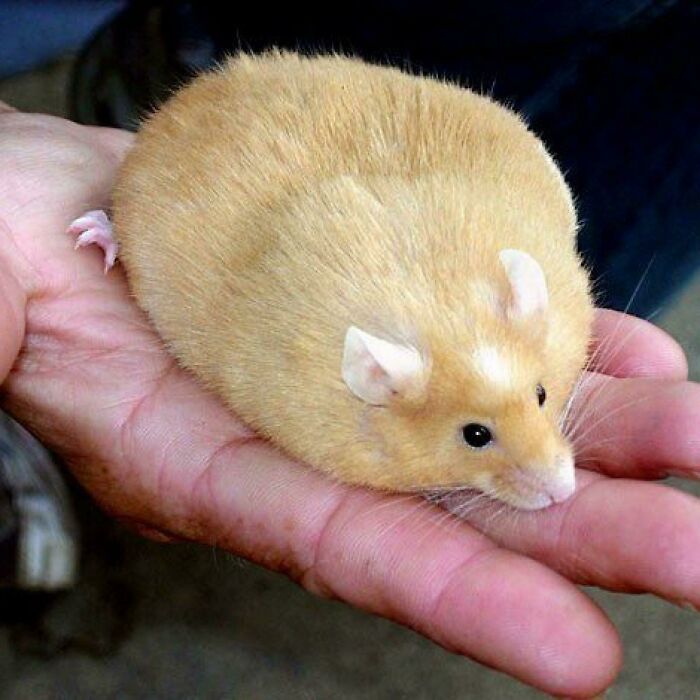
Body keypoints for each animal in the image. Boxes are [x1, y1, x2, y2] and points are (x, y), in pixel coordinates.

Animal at [71, 52, 594, 510]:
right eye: (476, 435)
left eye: (542, 394)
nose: (565, 492)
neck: (435, 308)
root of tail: (185, 98)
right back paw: (95, 233)